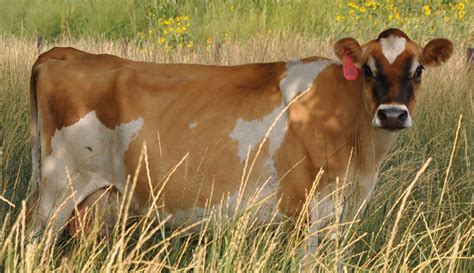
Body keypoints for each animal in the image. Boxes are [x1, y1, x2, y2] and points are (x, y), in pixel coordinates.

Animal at [28, 28, 452, 242]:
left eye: (418, 70)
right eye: (367, 69)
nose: (393, 114)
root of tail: (64, 52)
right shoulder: (315, 210)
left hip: (97, 201)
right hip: (57, 192)